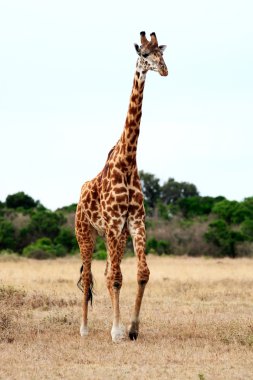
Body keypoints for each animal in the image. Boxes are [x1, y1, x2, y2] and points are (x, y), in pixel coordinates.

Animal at [76, 31, 169, 342]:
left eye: (162, 53)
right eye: (145, 54)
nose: (164, 69)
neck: (128, 161)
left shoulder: (136, 222)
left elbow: (141, 273)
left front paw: (132, 328)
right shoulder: (115, 223)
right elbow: (115, 278)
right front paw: (117, 331)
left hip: (112, 235)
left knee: (105, 271)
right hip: (86, 233)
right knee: (91, 276)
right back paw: (84, 328)